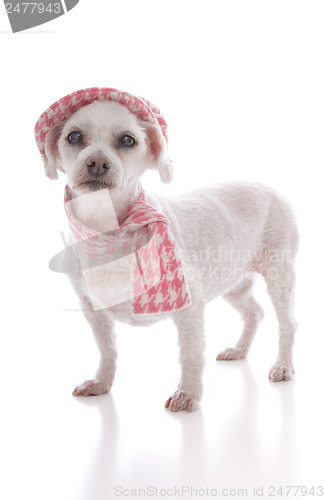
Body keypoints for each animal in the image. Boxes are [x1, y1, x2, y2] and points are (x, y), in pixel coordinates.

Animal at [36, 88, 298, 412]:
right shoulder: (92, 308)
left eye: (128, 140)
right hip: (232, 281)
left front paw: (188, 393)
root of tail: (272, 188)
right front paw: (101, 382)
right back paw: (239, 349)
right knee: (254, 313)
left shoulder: (190, 305)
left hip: (279, 276)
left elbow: (190, 354)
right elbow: (107, 348)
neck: (107, 231)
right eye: (73, 136)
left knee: (287, 323)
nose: (97, 162)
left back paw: (283, 365)